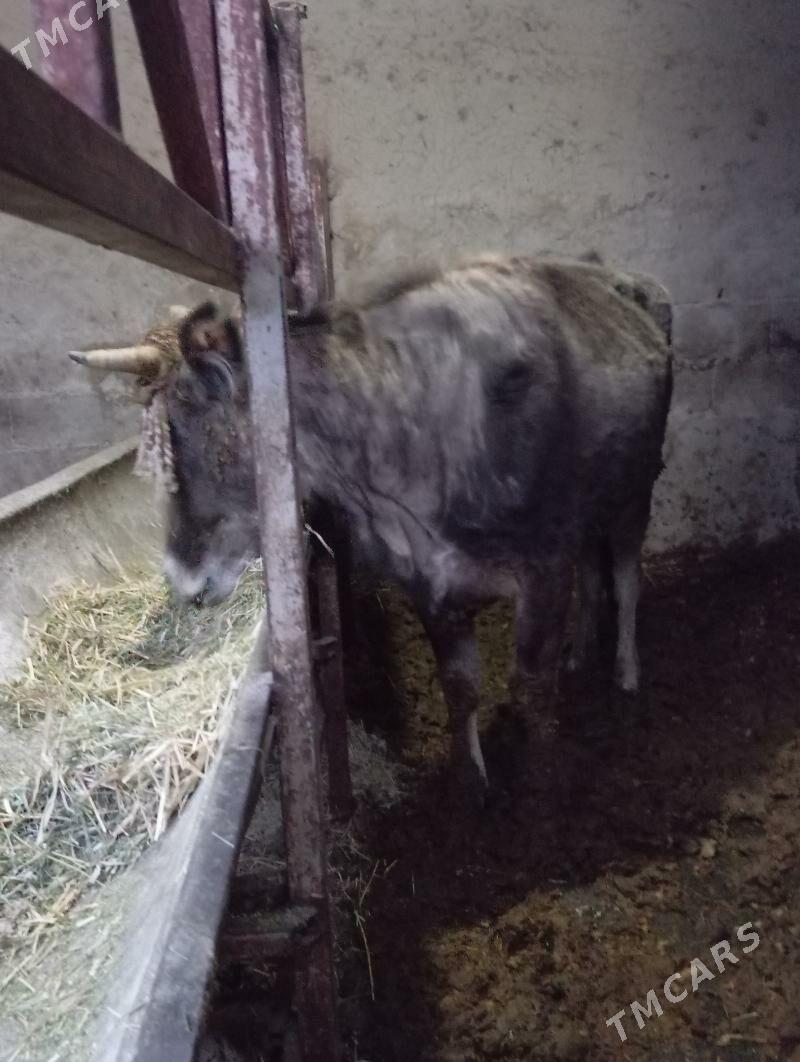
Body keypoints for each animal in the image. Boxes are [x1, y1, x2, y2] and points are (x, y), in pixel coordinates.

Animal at [70, 254, 673, 795]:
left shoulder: (545, 567)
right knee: (595, 575)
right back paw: (581, 653)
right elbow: (460, 685)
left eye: (188, 420)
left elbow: (531, 687)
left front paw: (541, 782)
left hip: (636, 483)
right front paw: (472, 782)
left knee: (625, 575)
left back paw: (626, 672)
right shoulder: (429, 580)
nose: (181, 578)